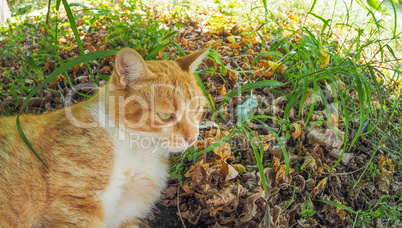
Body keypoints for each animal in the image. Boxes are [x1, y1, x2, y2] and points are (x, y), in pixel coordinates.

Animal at [0, 47, 207, 227]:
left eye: (196, 110)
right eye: (165, 116)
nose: (192, 138)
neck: (138, 149)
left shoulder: (126, 214)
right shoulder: (77, 209)